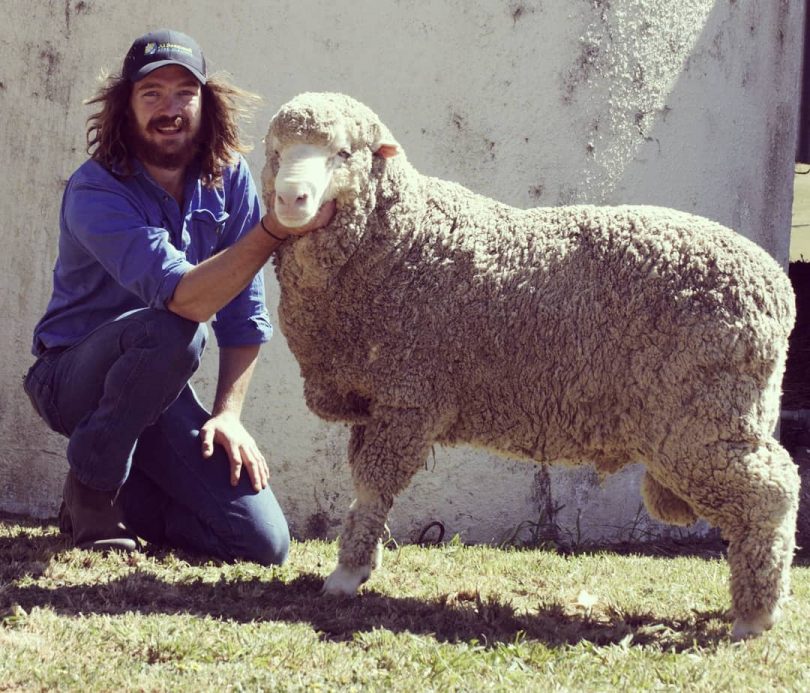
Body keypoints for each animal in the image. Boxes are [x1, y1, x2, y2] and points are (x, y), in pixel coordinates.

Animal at [264, 90, 796, 636]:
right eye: (276, 152)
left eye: (343, 153)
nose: (290, 200)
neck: (401, 238)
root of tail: (775, 285)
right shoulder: (373, 402)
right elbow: (363, 486)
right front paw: (361, 564)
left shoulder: (409, 395)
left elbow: (373, 486)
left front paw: (346, 576)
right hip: (717, 412)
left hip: (701, 414)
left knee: (771, 494)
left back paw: (756, 616)